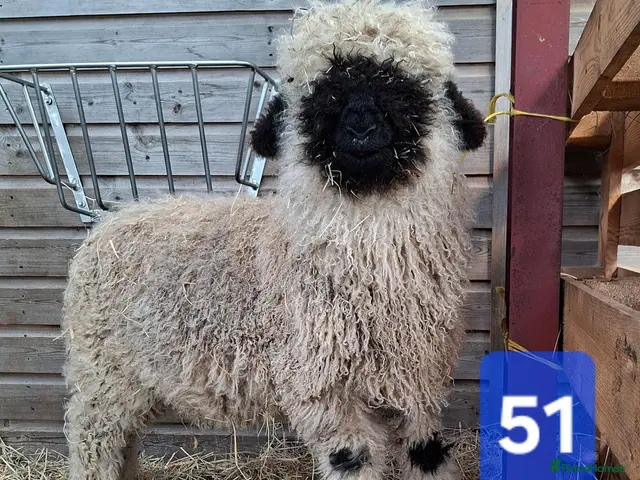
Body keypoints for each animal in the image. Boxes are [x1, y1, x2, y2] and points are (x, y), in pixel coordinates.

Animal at [61, 1, 487, 479]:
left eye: (406, 86)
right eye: (320, 92)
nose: (360, 128)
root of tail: (107, 223)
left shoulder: (418, 385)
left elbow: (427, 454)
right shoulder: (323, 394)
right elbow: (352, 460)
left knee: (126, 443)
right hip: (102, 375)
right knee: (93, 441)